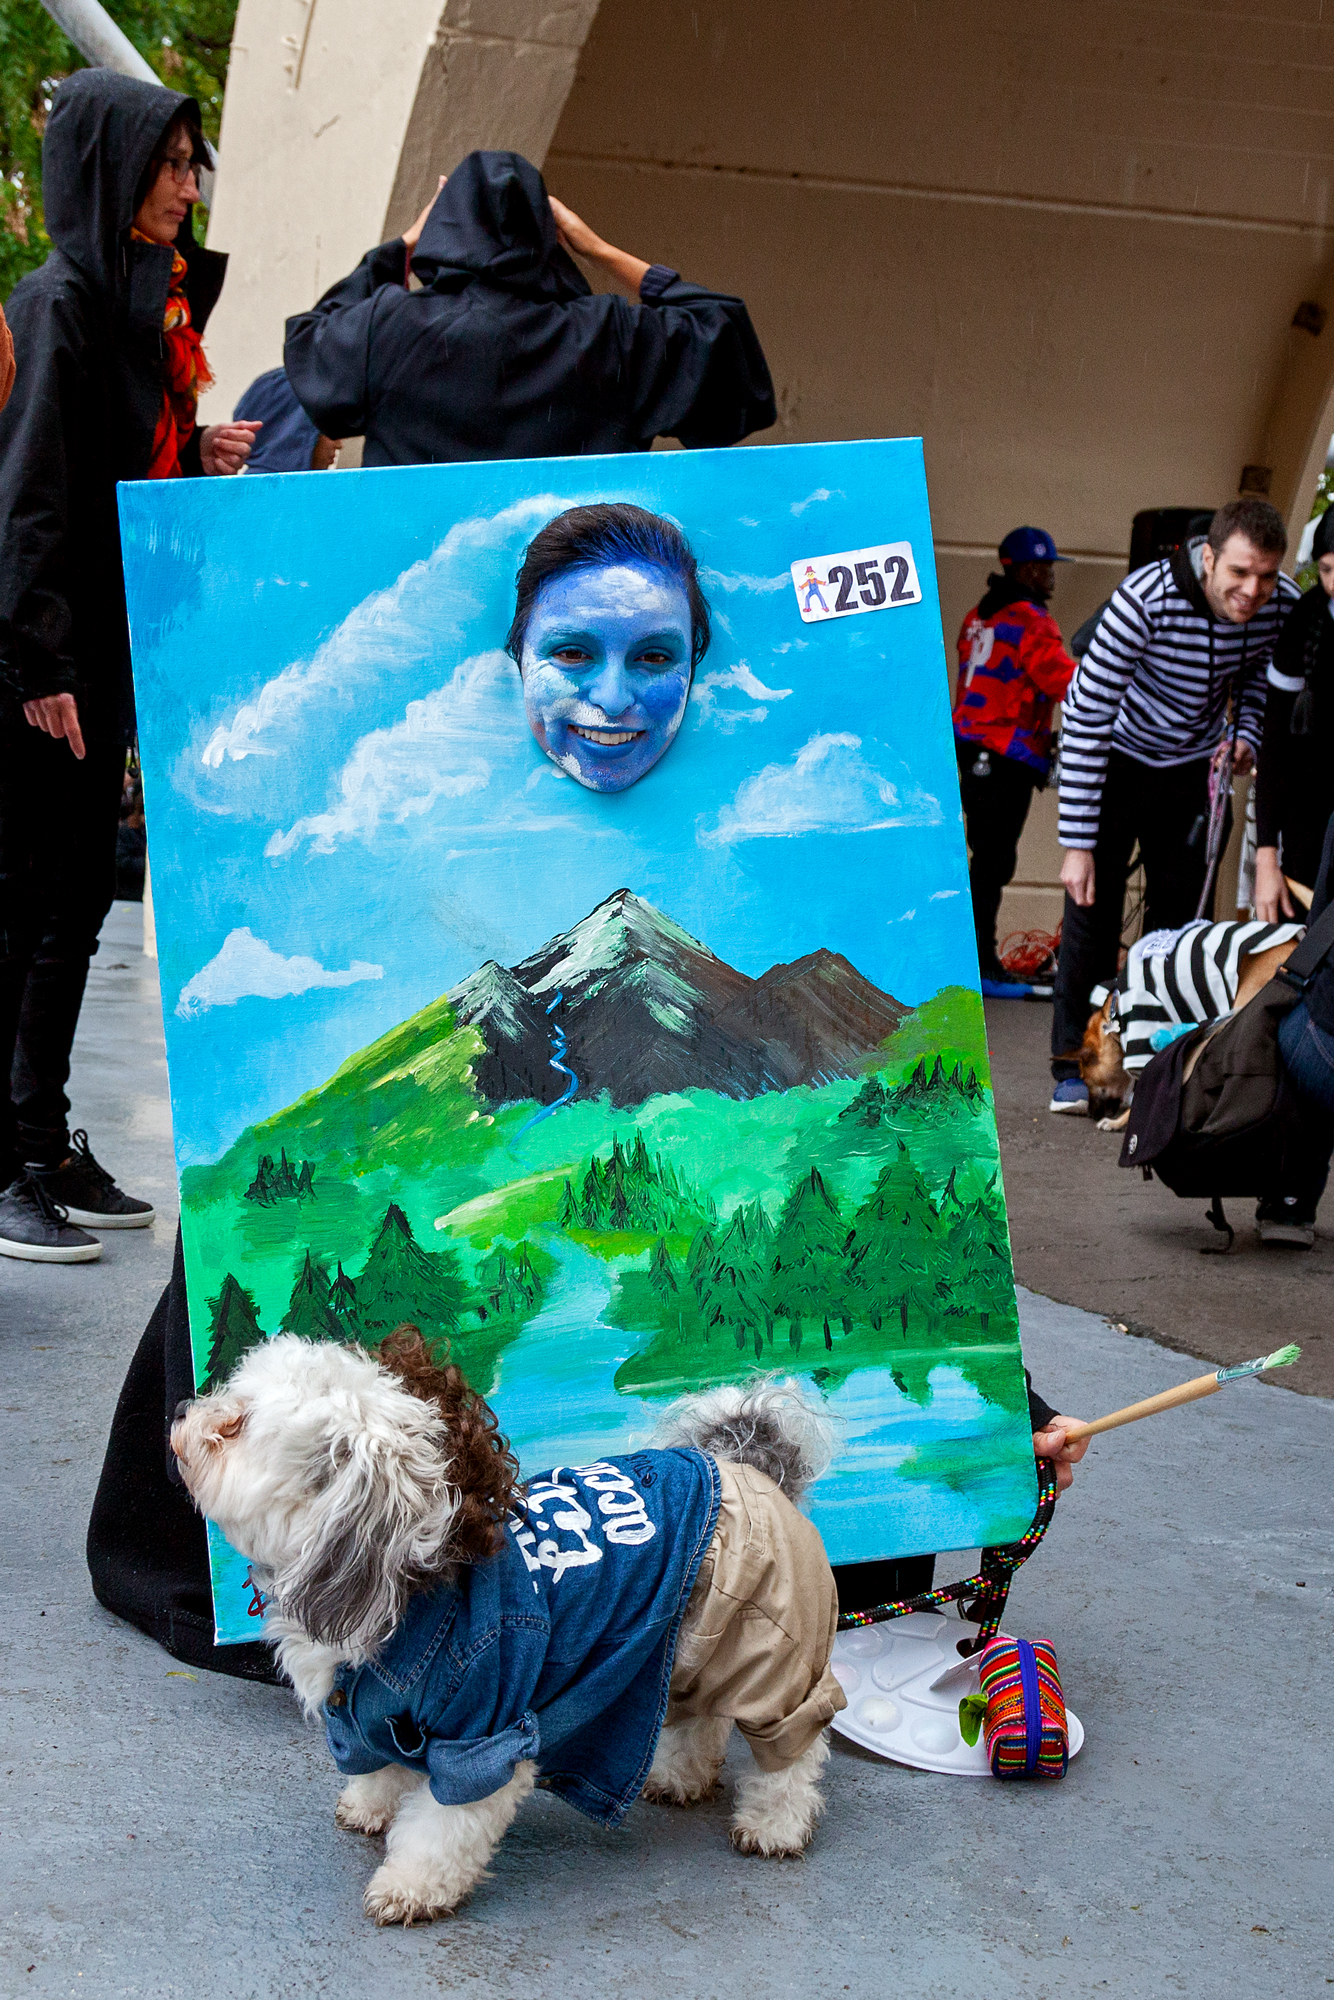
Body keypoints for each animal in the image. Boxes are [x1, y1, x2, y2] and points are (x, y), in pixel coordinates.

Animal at [172, 1328, 844, 1920]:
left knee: (796, 1747)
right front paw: (368, 1805)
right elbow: (382, 1765)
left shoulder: (488, 1735)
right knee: (701, 1717)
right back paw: (682, 1777)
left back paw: (776, 1824)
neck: (407, 1584)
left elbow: (444, 1828)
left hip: (769, 1659)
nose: (181, 1412)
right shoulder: (372, 1715)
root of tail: (750, 1466)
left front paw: (411, 1887)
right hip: (685, 1646)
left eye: (236, 1425)